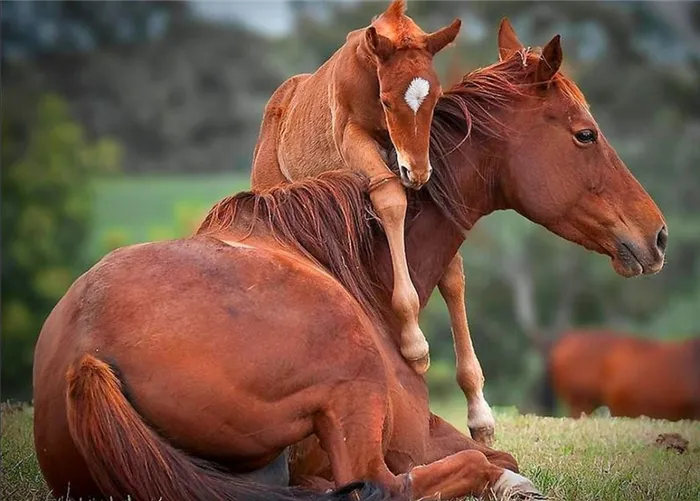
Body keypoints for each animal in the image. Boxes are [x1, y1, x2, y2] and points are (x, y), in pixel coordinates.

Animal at [249, 0, 462, 376]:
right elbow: (390, 198)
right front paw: (415, 346)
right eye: (387, 100)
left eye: (435, 98)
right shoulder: (352, 138)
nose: (417, 172)